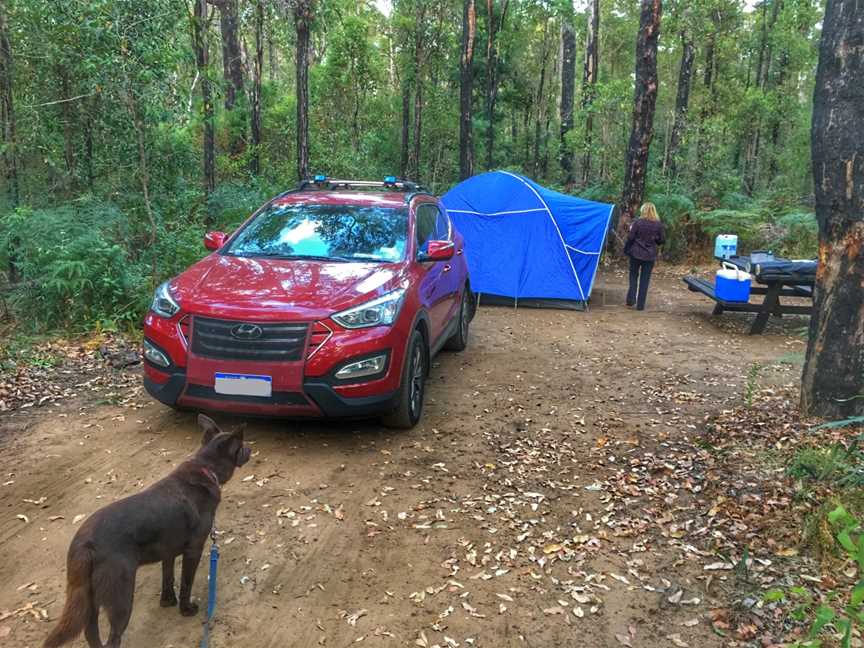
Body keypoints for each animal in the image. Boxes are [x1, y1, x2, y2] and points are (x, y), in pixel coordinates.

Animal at [44, 416, 250, 648]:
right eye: (242, 446)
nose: (251, 448)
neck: (206, 468)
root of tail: (85, 544)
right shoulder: (193, 550)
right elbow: (186, 583)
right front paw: (185, 609)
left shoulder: (168, 551)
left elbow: (168, 578)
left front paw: (168, 601)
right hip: (121, 596)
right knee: (113, 638)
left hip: (89, 598)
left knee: (91, 633)